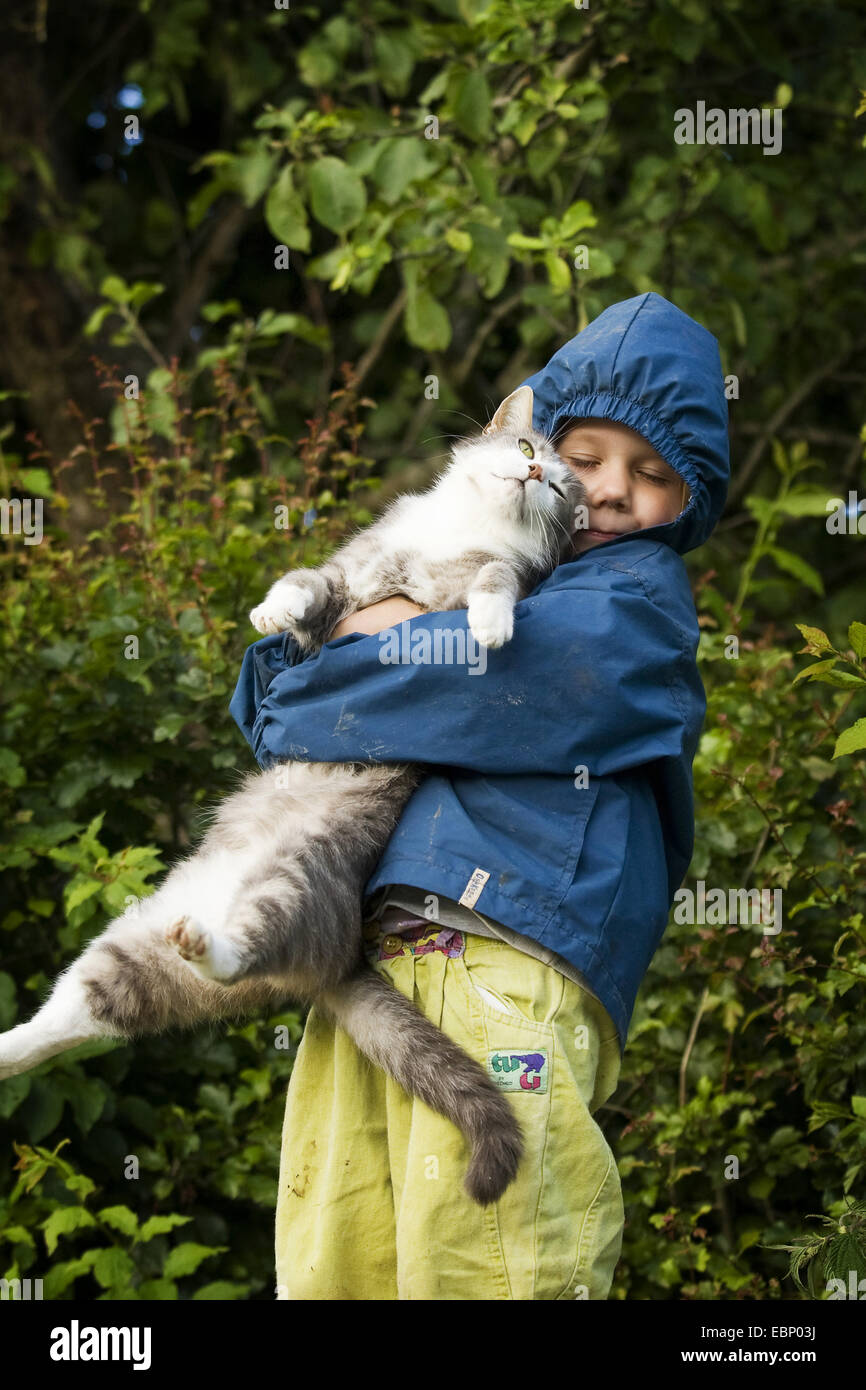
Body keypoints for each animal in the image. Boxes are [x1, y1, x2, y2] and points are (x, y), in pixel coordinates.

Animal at [0, 389, 586, 1206]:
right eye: (528, 446)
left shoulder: (475, 576)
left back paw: (206, 944)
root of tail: (336, 965)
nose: (533, 471)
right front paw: (270, 614)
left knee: (234, 954)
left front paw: (492, 627)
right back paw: (9, 1047)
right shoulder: (354, 570)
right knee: (78, 1014)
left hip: (291, 885)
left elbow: (496, 578)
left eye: (559, 488)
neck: (460, 528)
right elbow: (305, 582)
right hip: (124, 942)